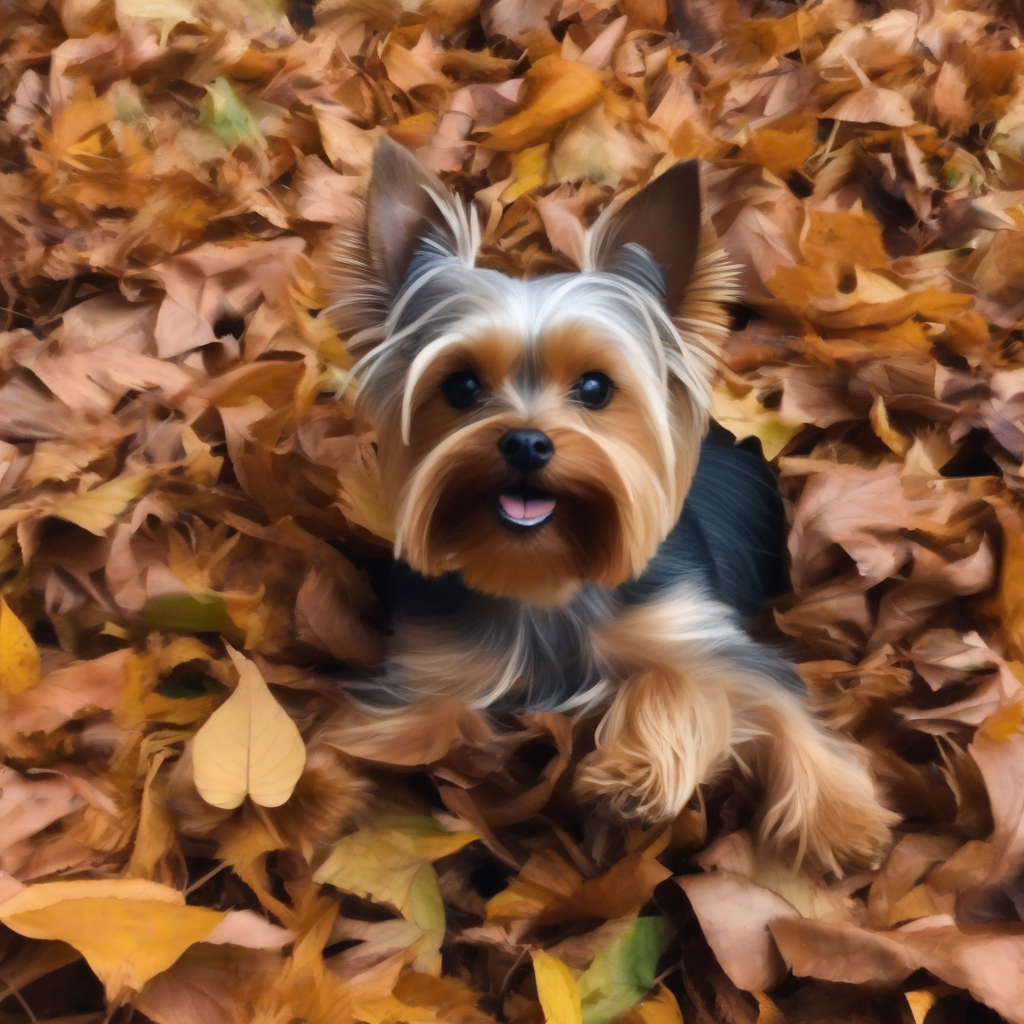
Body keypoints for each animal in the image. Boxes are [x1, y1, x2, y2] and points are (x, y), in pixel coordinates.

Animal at [327, 136, 897, 872]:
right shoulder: (435, 668)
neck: (543, 576)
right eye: (461, 387)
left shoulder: (699, 631)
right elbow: (387, 728)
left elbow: (730, 686)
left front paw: (840, 818)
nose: (526, 442)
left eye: (595, 387)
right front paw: (318, 794)